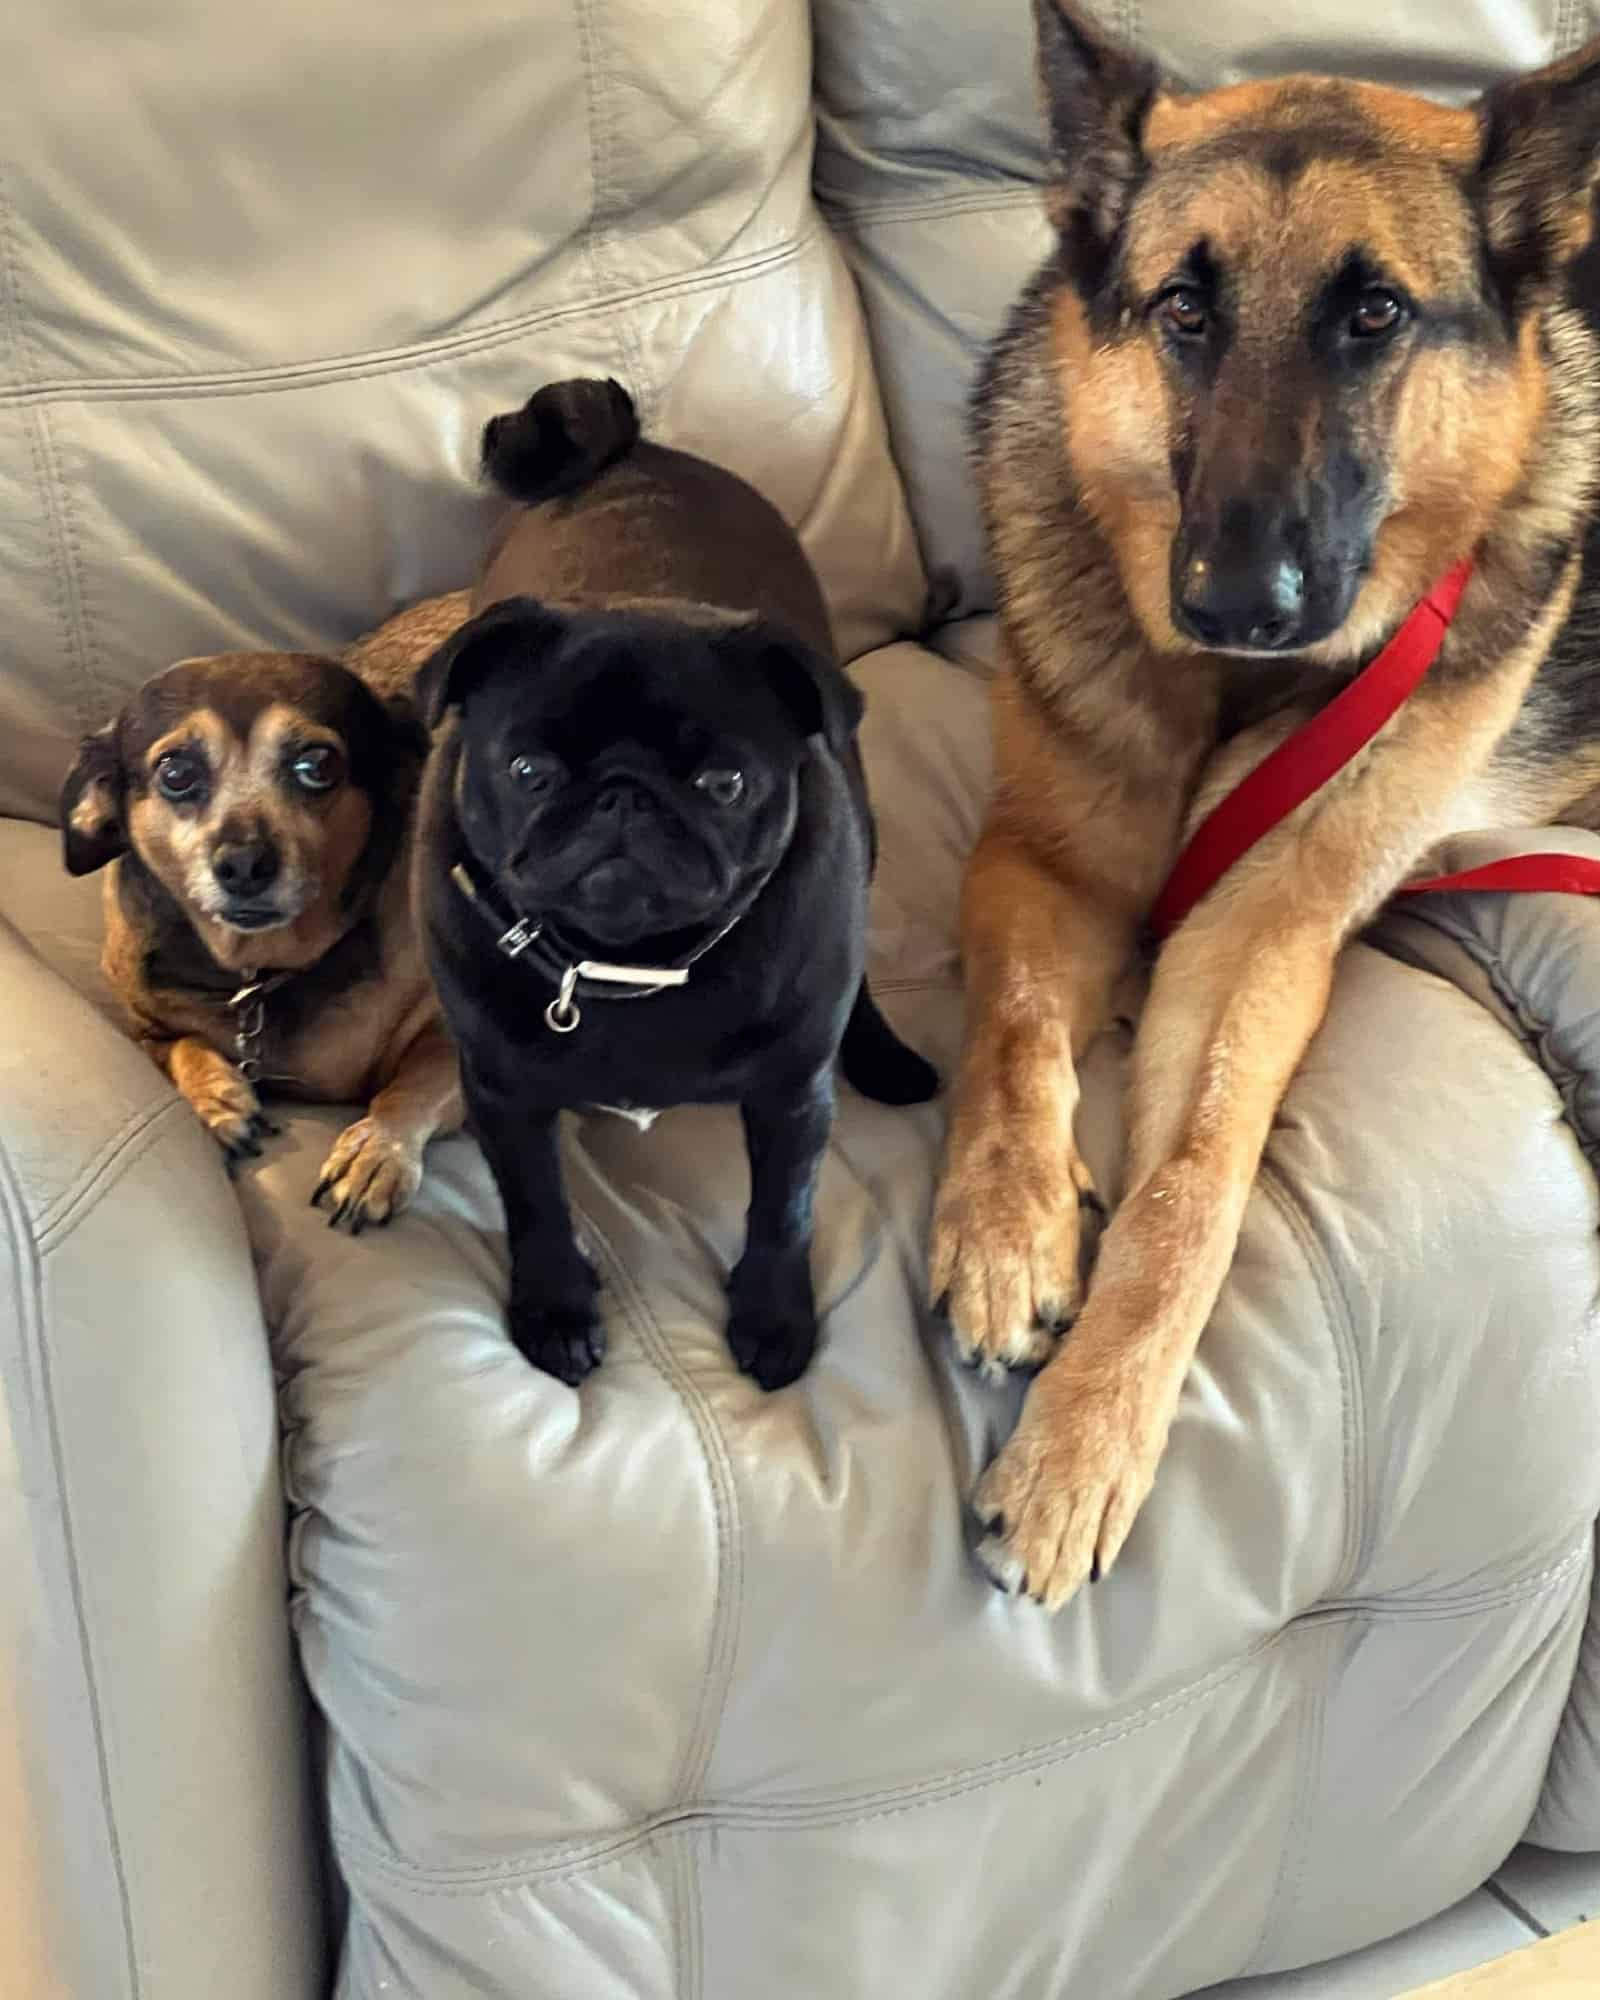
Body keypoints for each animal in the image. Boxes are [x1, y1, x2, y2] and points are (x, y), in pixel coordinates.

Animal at [61, 592, 462, 1224]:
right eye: (176, 772)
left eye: (318, 765)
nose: (245, 863)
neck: (257, 971)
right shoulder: (143, 1025)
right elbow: (181, 1045)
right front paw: (218, 1099)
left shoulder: (452, 1039)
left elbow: (415, 1084)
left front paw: (377, 1150)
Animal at [412, 382, 936, 1392]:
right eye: (529, 770)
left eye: (723, 783)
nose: (624, 797)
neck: (626, 965)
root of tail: (626, 448)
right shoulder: (501, 1091)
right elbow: (535, 1205)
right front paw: (556, 1310)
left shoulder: (790, 1097)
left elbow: (784, 1210)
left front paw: (772, 1316)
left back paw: (885, 1054)